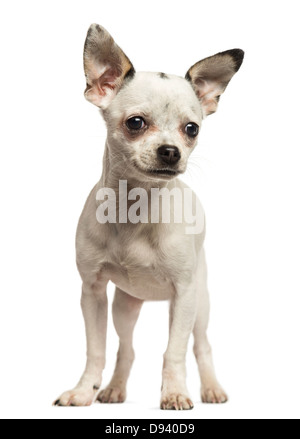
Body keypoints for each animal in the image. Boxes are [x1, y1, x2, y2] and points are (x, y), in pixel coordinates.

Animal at [54, 23, 244, 410]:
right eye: (136, 123)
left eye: (192, 129)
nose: (171, 151)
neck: (137, 210)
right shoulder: (92, 292)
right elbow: (96, 349)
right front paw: (83, 391)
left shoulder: (184, 295)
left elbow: (174, 353)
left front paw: (174, 393)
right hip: (124, 307)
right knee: (126, 348)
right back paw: (113, 388)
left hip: (198, 305)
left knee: (200, 346)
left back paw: (211, 388)